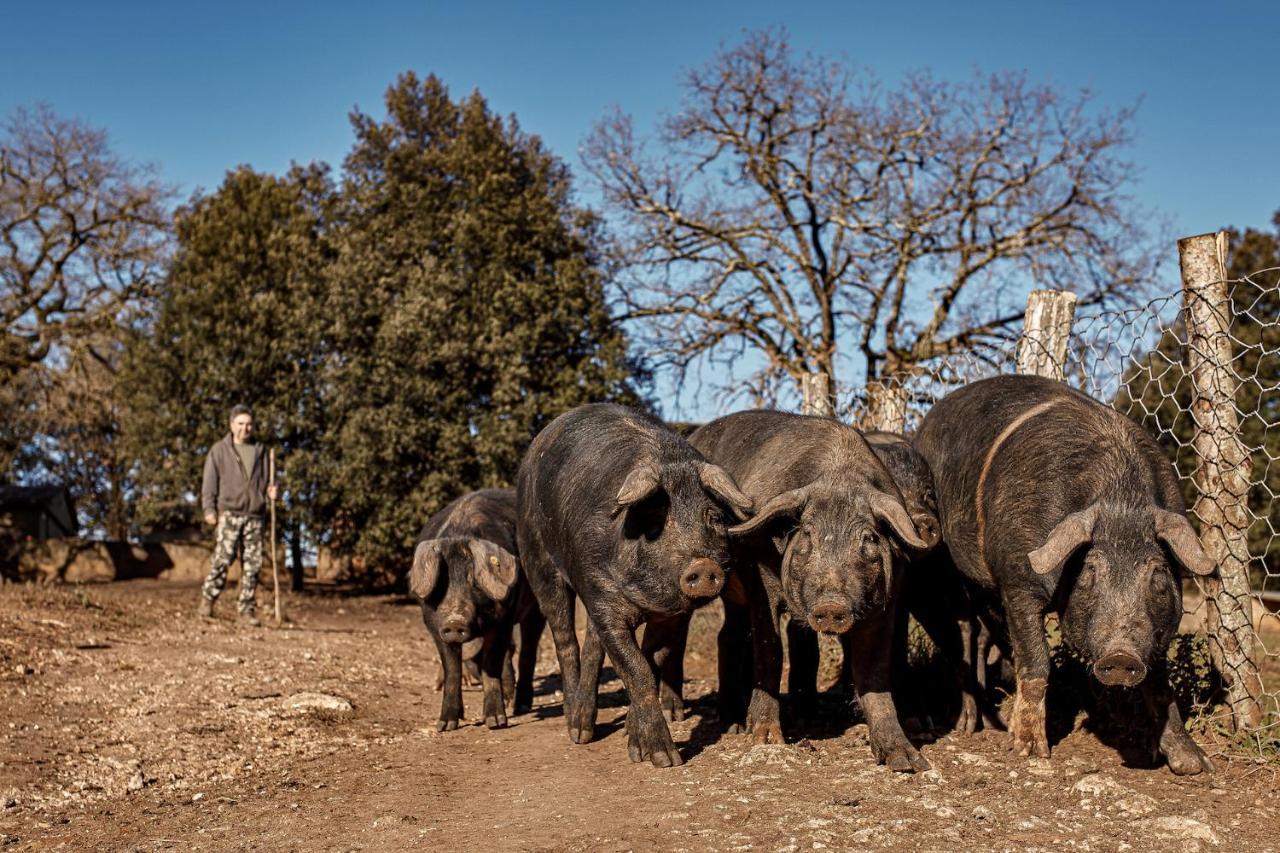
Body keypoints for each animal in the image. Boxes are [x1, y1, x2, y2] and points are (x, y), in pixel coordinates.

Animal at [412, 489, 542, 727]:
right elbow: (452, 668)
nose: (454, 621)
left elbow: (491, 664)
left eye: (474, 582)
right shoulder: (434, 626)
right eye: (441, 583)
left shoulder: (503, 619)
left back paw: (520, 707)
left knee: (527, 649)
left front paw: (496, 722)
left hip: (536, 607)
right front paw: (445, 726)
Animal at [512, 402, 747, 768]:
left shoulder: (672, 615)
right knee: (565, 639)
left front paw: (637, 749)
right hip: (537, 559)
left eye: (713, 518)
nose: (702, 566)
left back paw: (585, 726)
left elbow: (649, 662)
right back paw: (575, 730)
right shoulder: (602, 596)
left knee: (593, 644)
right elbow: (637, 670)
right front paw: (666, 760)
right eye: (656, 520)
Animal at [691, 409, 931, 768]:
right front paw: (765, 739)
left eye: (869, 540)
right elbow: (771, 651)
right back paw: (732, 724)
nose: (831, 604)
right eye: (806, 536)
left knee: (730, 635)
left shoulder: (885, 603)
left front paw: (908, 761)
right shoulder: (761, 582)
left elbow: (874, 672)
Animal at [916, 373, 1213, 768]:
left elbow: (1159, 684)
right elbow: (1036, 661)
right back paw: (969, 727)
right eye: (1089, 571)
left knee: (982, 638)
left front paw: (1194, 765)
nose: (1121, 655)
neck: (1121, 499)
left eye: (1158, 574)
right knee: (967, 636)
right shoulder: (1017, 578)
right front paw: (1028, 750)